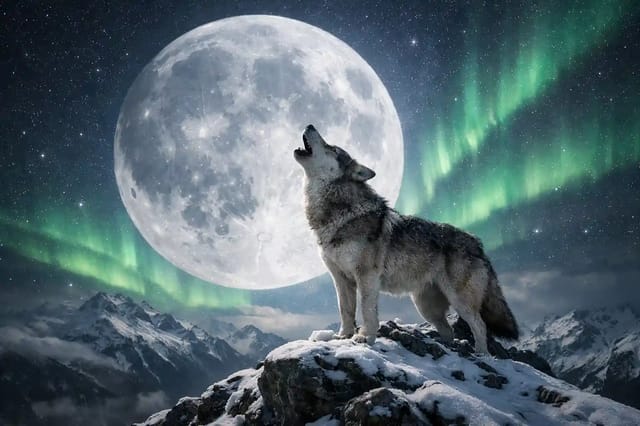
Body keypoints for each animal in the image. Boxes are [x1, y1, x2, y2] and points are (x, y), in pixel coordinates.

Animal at [294, 125, 519, 354]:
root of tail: (478, 243)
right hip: (425, 307)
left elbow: (366, 309)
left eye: (332, 148)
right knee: (448, 330)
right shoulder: (341, 279)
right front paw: (343, 337)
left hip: (459, 300)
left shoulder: (366, 275)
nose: (310, 125)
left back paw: (481, 354)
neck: (338, 212)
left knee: (480, 326)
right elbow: (345, 310)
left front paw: (365, 337)